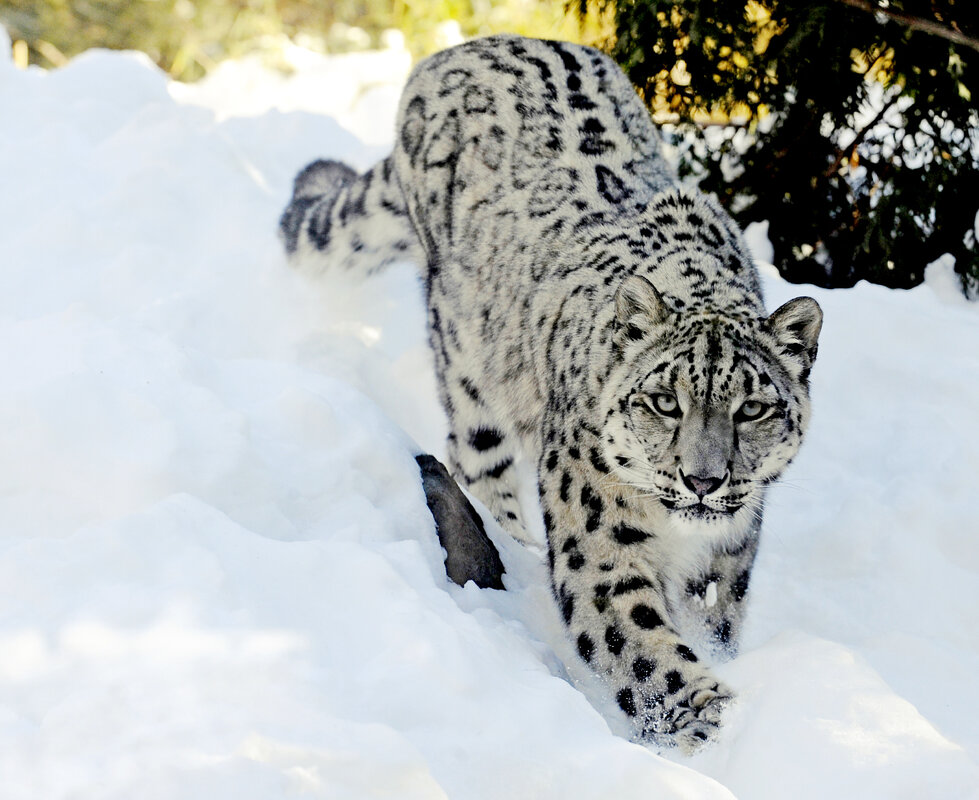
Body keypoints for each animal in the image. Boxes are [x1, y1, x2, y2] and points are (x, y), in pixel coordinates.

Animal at [279, 34, 822, 752]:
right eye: (664, 401)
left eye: (751, 408)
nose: (703, 480)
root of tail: (463, 48)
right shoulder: (602, 550)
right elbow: (647, 651)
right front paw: (716, 726)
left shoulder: (725, 562)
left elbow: (710, 628)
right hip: (468, 368)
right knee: (479, 466)